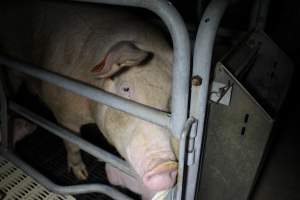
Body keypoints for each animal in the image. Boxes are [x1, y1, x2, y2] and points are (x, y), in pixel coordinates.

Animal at [0, 0, 178, 197]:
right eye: (125, 88)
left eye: (171, 98)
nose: (166, 166)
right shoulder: (64, 116)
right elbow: (73, 144)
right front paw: (82, 176)